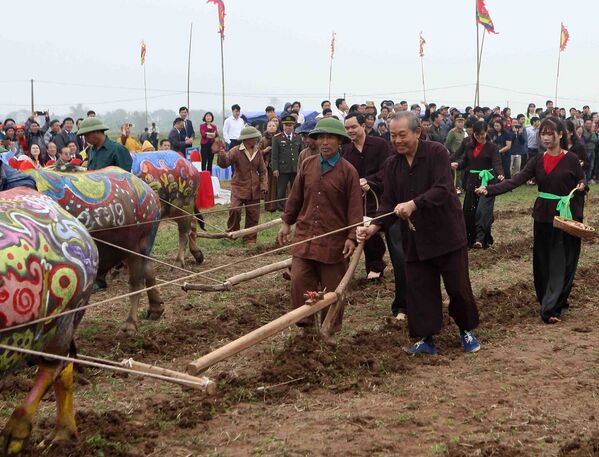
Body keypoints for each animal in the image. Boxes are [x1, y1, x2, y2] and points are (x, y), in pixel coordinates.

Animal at [25, 167, 163, 334]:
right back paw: (156, 309)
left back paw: (130, 324)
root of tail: (150, 193)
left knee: (136, 283)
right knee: (149, 270)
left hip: (136, 248)